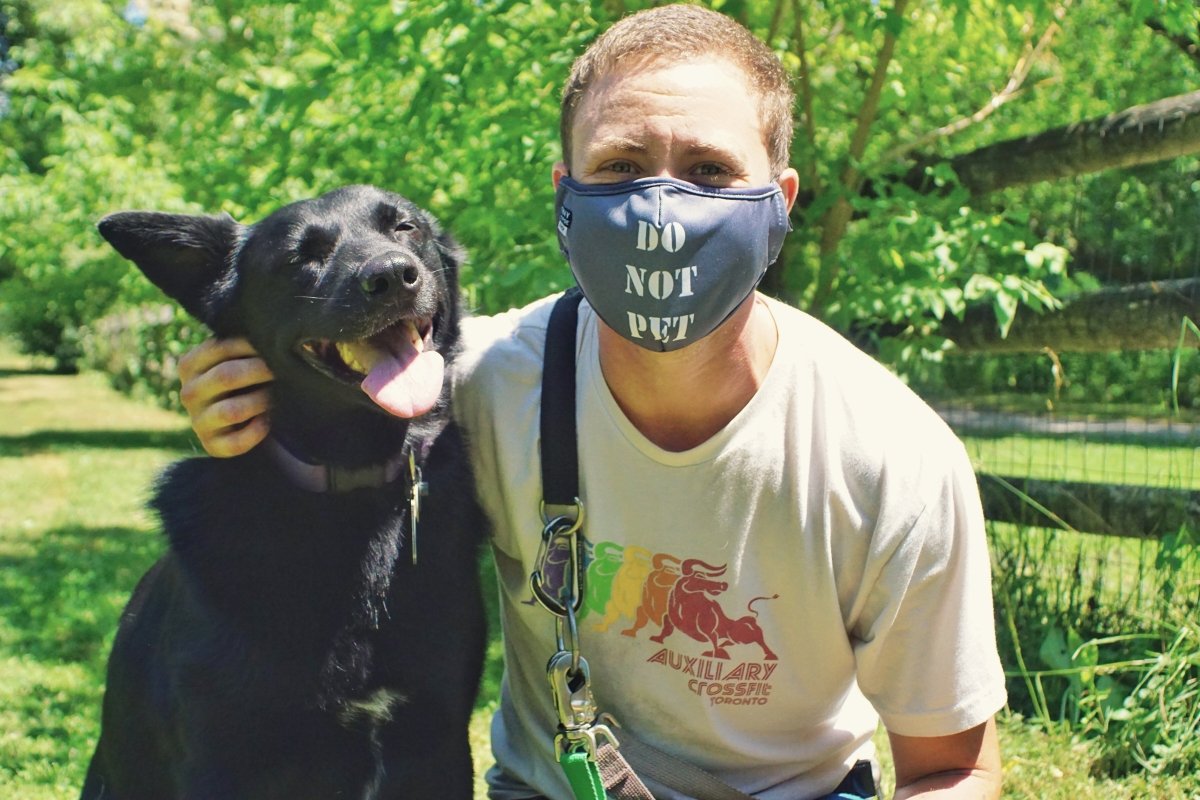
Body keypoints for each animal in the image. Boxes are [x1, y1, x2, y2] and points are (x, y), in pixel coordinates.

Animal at [81, 185, 487, 800]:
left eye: (405, 227)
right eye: (302, 257)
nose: (393, 276)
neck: (349, 484)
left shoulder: (436, 746)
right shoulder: (221, 763)